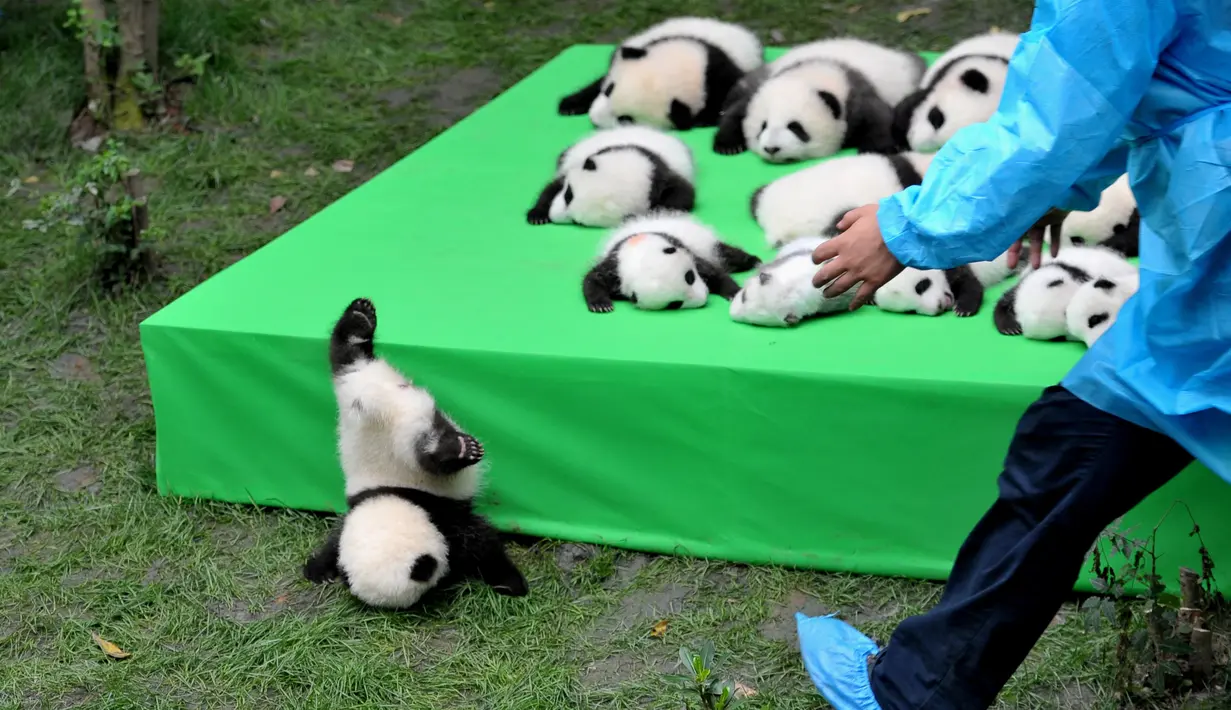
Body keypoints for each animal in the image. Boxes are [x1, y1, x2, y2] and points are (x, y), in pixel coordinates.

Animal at [302, 298, 528, 609]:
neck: (396, 498)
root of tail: (372, 402)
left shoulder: (440, 513)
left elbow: (483, 545)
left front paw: (511, 583)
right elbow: (335, 540)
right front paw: (320, 569)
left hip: (372, 413)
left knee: (427, 457)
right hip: (357, 390)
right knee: (347, 354)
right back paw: (359, 320)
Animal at [526, 126, 696, 227]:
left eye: (577, 222)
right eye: (568, 195)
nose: (553, 216)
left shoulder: (665, 176)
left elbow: (682, 195)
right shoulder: (578, 162)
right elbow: (553, 186)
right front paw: (538, 215)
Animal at [557, 17, 763, 130]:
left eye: (626, 119)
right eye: (609, 90)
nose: (594, 120)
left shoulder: (720, 78)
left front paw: (703, 120)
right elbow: (599, 81)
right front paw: (570, 104)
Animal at [582, 211, 759, 313]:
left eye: (690, 277)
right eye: (675, 304)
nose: (703, 298)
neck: (640, 252)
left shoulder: (686, 250)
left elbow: (715, 272)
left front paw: (733, 292)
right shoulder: (615, 266)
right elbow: (593, 278)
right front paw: (601, 305)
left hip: (707, 243)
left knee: (728, 254)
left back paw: (753, 260)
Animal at [713, 38, 925, 161]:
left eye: (795, 127)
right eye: (762, 126)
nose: (772, 149)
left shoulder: (856, 95)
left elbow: (879, 116)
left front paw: (876, 149)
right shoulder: (762, 87)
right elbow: (737, 111)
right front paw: (728, 146)